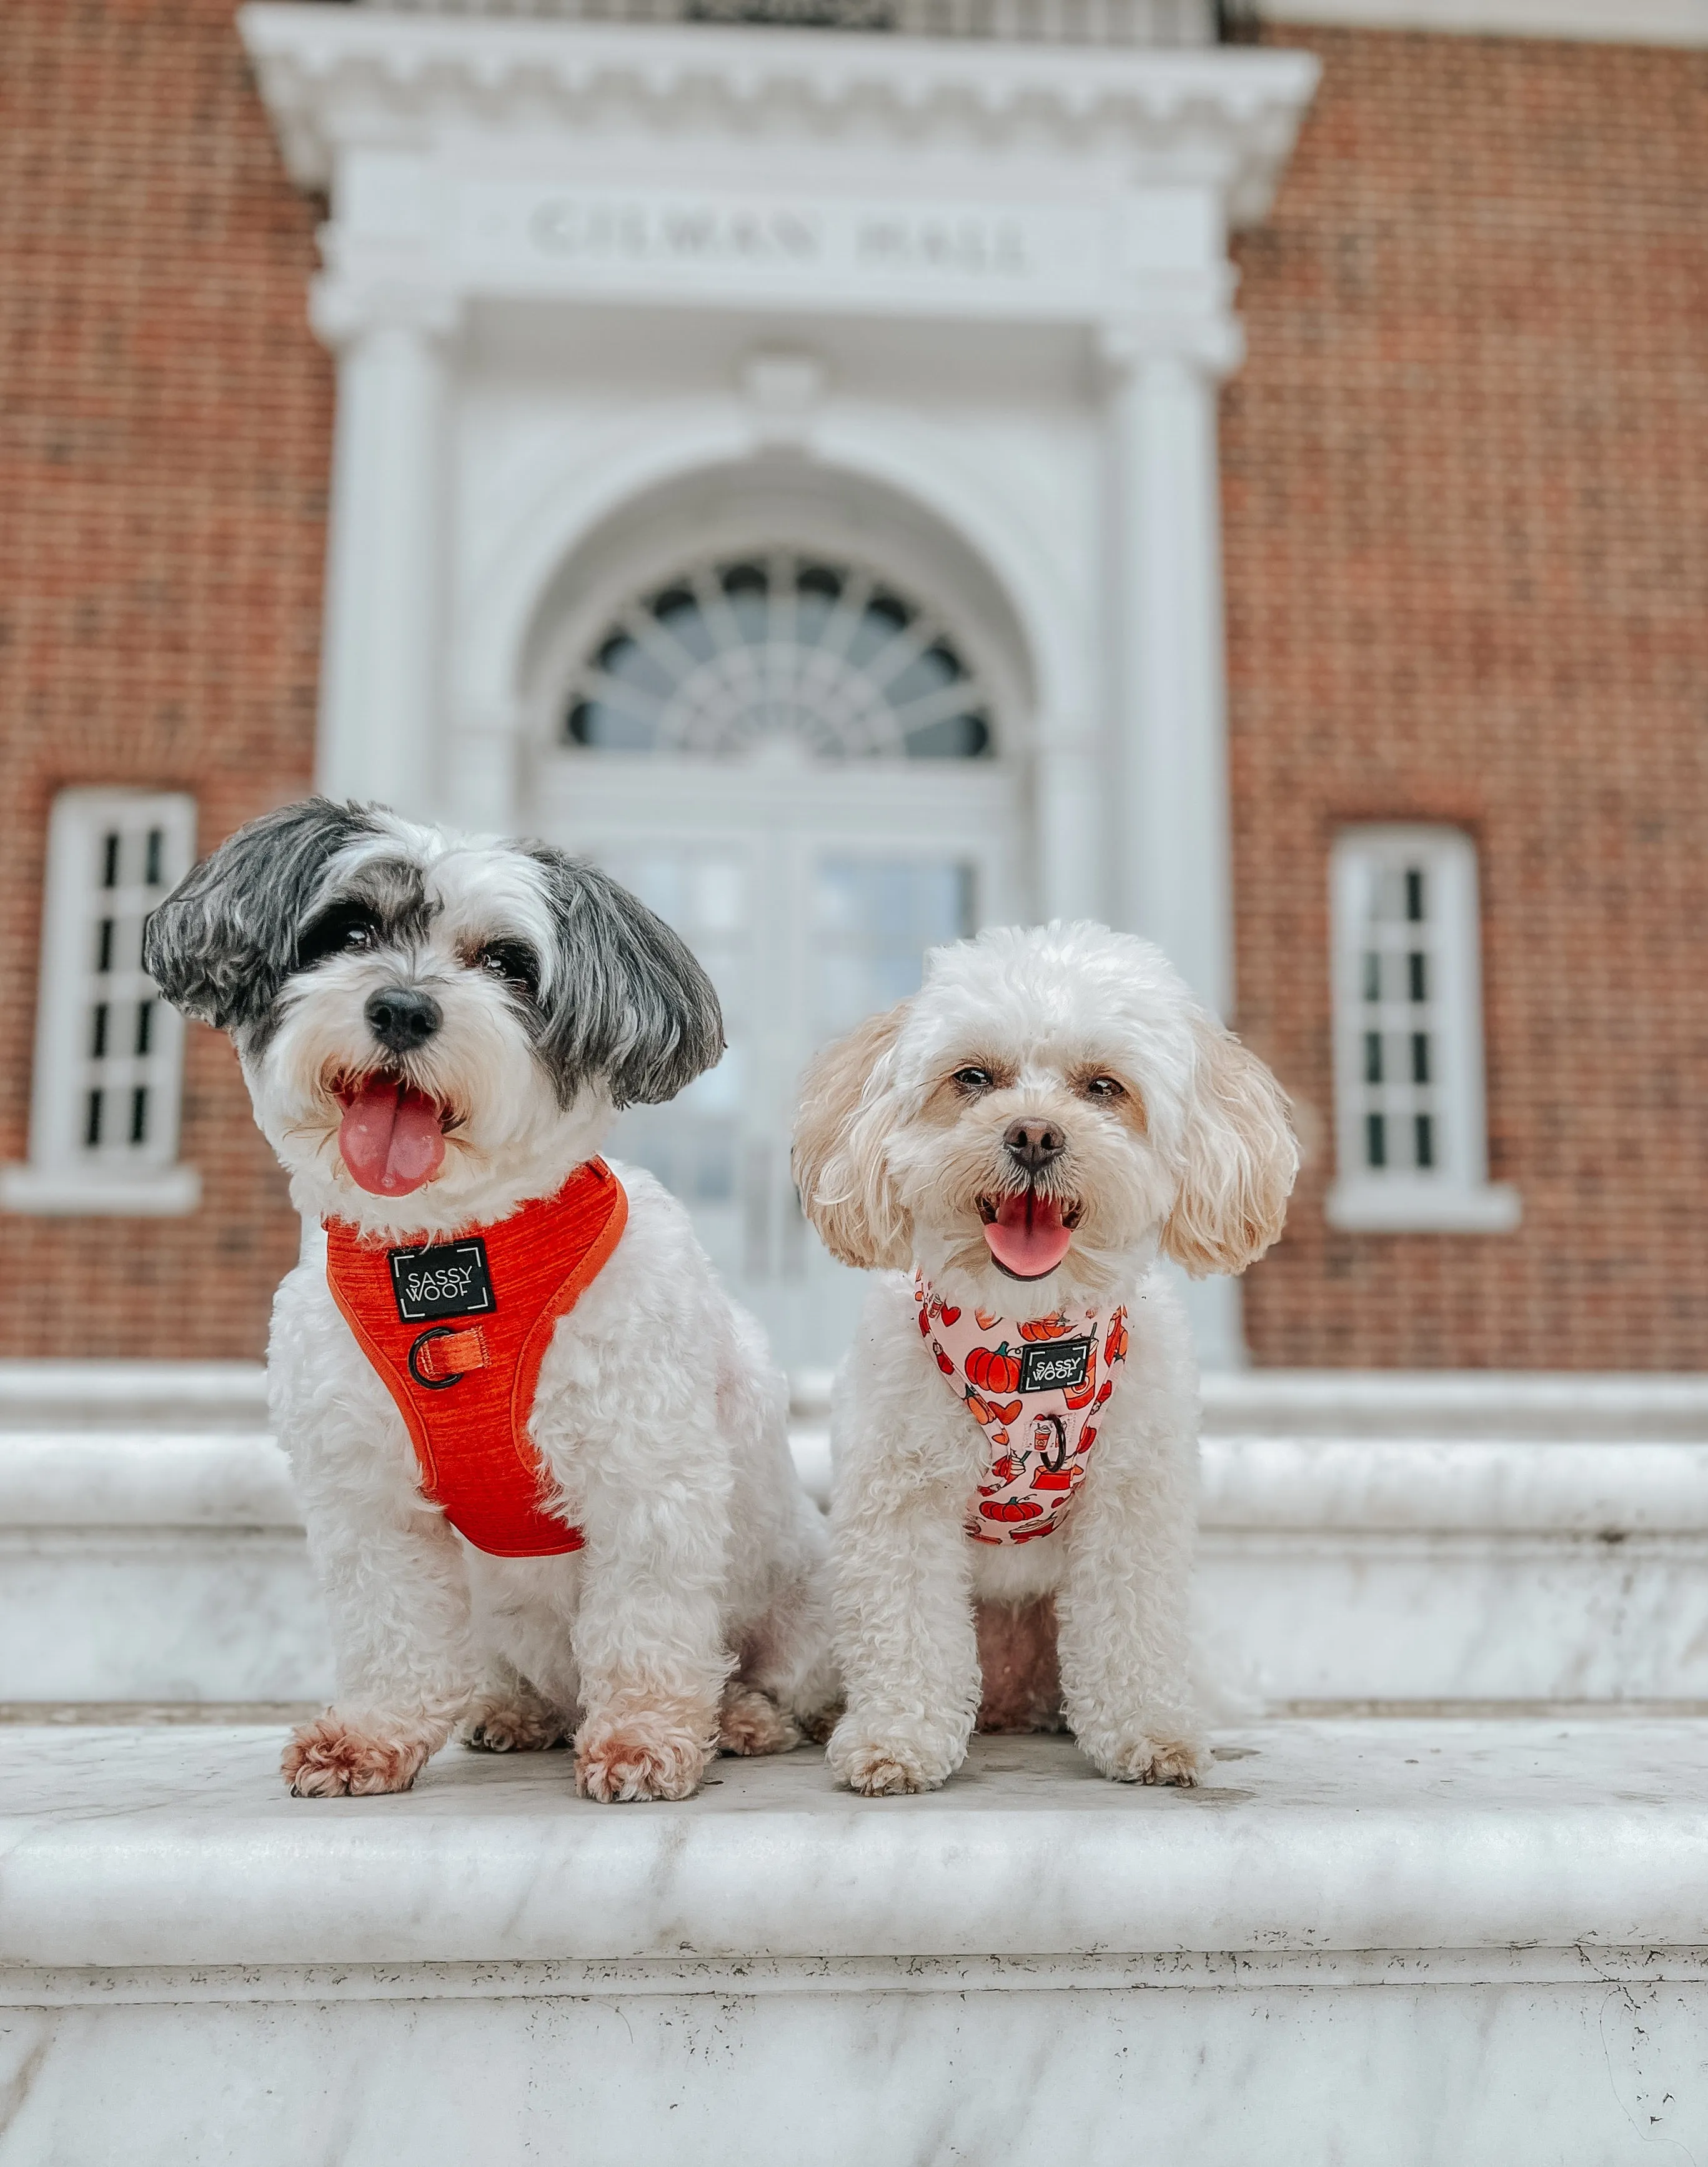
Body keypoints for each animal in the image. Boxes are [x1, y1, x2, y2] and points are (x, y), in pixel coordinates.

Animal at [145, 797, 832, 1794]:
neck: (447, 1254)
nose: (402, 1007)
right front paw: (371, 1734)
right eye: (347, 930)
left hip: (804, 1601)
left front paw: (644, 1739)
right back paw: (517, 1713)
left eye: (508, 963)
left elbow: (647, 1623)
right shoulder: (368, 1497)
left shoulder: (645, 1474)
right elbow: (391, 1626)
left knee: (769, 1675)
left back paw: (740, 1717)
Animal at [788, 923, 1291, 1803]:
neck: (1028, 1336)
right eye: (973, 1077)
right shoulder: (898, 1500)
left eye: (1103, 1087)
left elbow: (1131, 1628)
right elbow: (906, 1629)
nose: (1032, 1134)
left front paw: (1149, 1733)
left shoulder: (1131, 1503)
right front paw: (896, 1741)